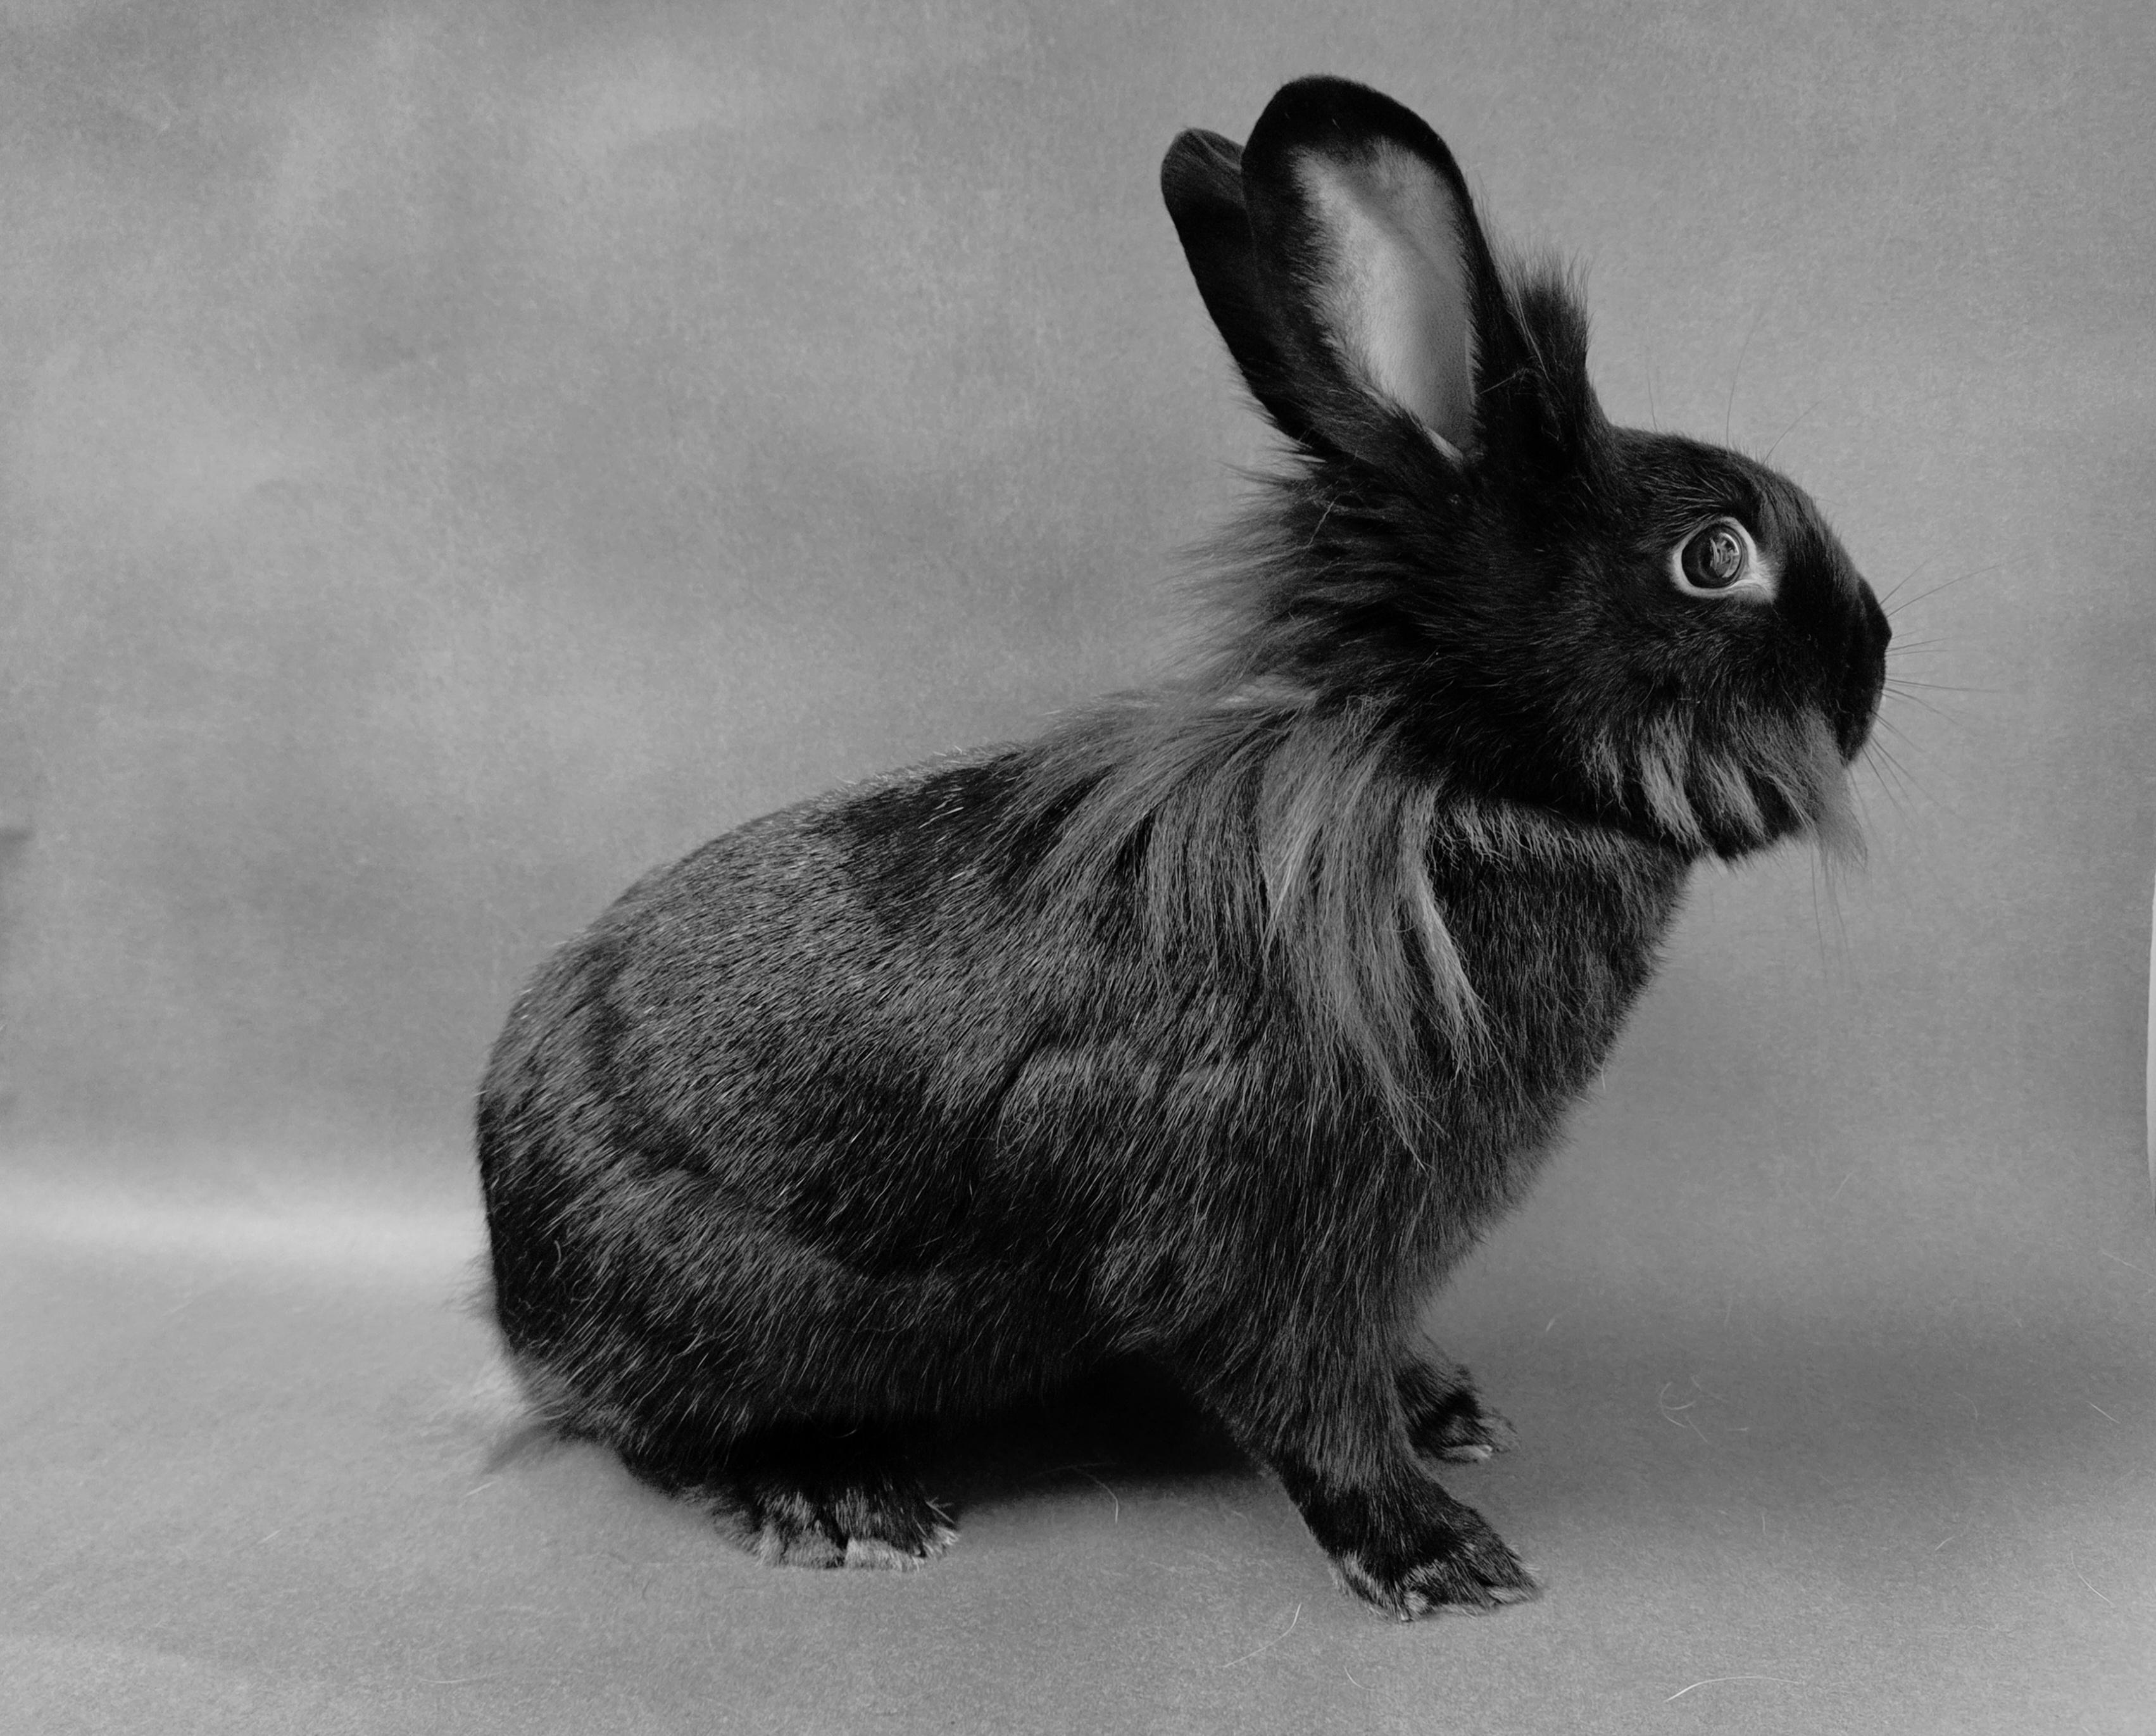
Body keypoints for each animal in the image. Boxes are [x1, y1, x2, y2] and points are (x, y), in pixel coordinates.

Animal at [476, 74, 1889, 1619]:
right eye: (1714, 557)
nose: (1876, 657)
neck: (1439, 785)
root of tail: (512, 1269)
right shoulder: (1268, 1242)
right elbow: (1309, 1405)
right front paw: (1436, 1557)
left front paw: (1442, 1410)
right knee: (663, 1436)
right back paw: (838, 1499)